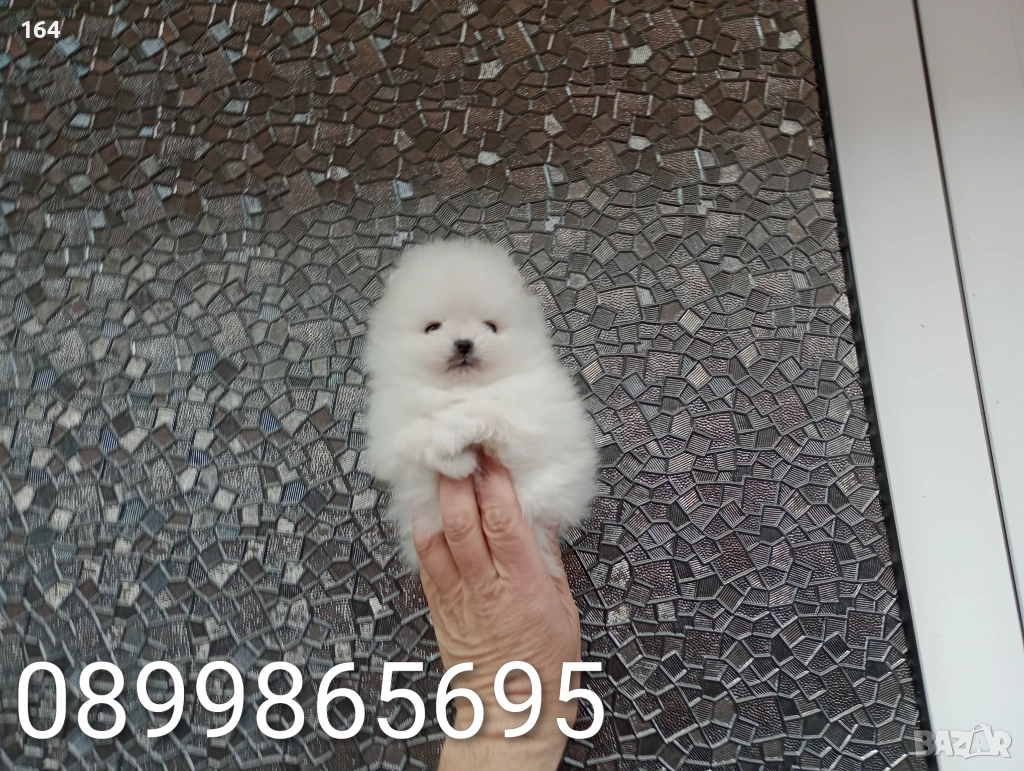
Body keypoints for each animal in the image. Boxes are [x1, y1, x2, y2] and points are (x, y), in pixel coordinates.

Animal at [362, 238, 597, 575]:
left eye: (490, 326)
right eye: (432, 328)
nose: (464, 343)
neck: (463, 389)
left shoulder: (531, 423)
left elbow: (488, 414)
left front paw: (458, 434)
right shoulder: (393, 434)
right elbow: (419, 442)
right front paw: (457, 459)